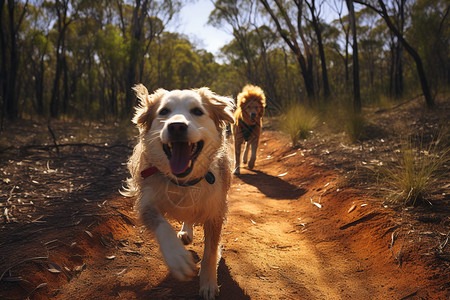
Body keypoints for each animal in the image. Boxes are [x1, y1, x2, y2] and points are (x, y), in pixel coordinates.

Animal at [123, 84, 236, 300]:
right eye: (164, 111)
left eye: (197, 111)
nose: (176, 126)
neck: (184, 183)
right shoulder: (146, 201)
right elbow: (162, 225)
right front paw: (177, 257)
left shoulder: (215, 211)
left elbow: (210, 252)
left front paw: (208, 283)